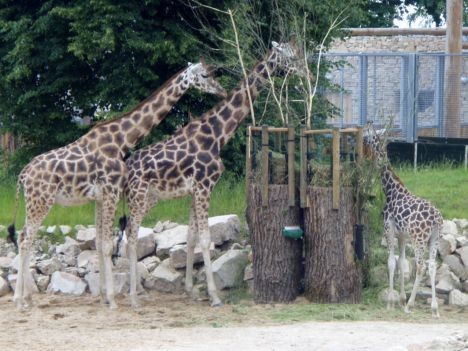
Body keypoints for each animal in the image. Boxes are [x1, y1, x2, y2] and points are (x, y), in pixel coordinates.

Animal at [7, 62, 227, 310]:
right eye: (205, 75)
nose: (222, 91)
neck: (121, 141)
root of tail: (23, 174)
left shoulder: (100, 196)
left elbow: (100, 242)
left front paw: (104, 295)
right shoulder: (111, 190)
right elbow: (108, 245)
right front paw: (112, 300)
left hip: (36, 202)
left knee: (25, 238)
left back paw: (27, 298)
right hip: (40, 201)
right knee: (25, 239)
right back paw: (19, 301)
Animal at [122, 39, 306, 308]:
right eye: (291, 57)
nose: (306, 73)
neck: (217, 135)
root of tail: (125, 169)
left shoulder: (194, 190)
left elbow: (191, 238)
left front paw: (190, 290)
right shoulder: (204, 186)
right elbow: (206, 240)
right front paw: (214, 296)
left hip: (150, 197)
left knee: (128, 232)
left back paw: (134, 290)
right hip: (138, 195)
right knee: (132, 234)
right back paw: (133, 296)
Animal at [366, 126, 442, 320]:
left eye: (369, 135)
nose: (364, 139)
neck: (391, 190)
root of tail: (436, 218)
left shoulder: (389, 230)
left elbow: (391, 263)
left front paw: (391, 303)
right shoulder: (402, 236)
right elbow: (401, 262)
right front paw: (400, 300)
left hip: (419, 239)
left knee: (421, 266)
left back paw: (411, 305)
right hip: (435, 238)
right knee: (432, 265)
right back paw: (434, 309)